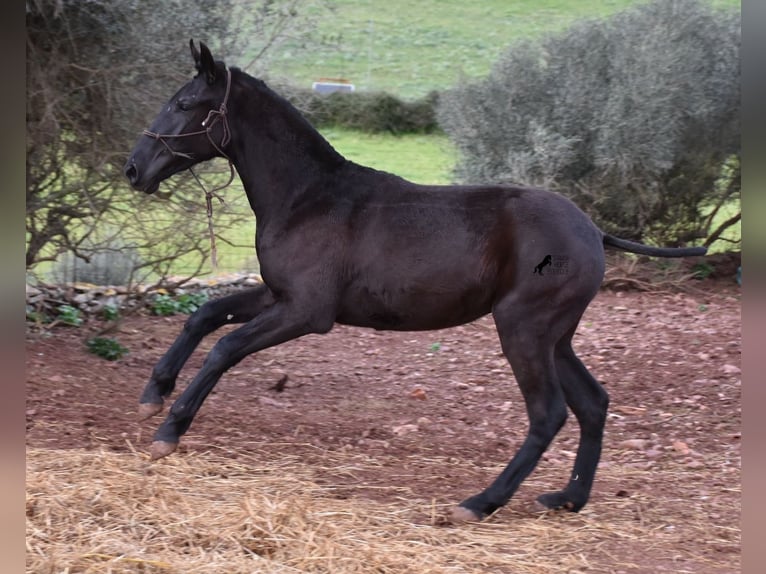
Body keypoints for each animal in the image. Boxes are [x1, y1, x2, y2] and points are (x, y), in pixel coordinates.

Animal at [124, 40, 708, 524]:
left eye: (184, 104)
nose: (133, 169)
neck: (307, 196)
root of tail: (594, 231)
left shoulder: (306, 312)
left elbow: (225, 347)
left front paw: (169, 431)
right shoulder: (279, 294)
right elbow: (204, 316)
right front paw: (154, 393)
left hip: (524, 329)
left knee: (549, 414)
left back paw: (481, 503)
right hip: (555, 336)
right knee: (593, 403)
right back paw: (567, 499)